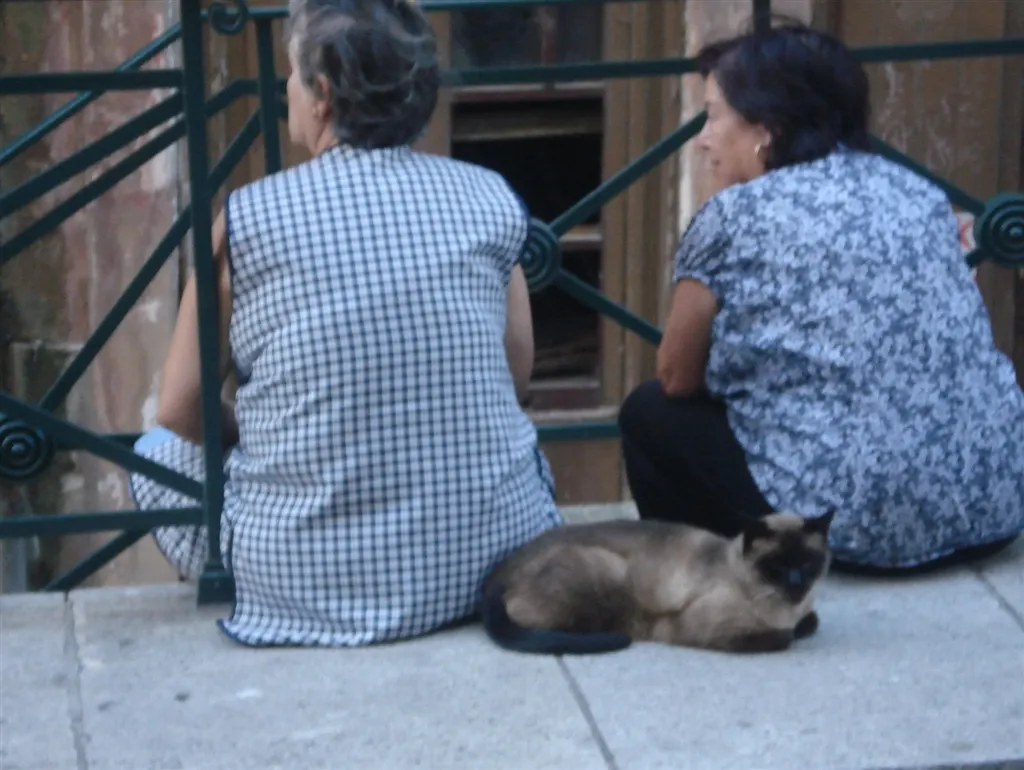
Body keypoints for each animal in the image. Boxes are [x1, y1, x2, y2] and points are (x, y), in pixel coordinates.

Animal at [479, 509, 835, 655]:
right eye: (776, 568)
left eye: (808, 563)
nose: (797, 585)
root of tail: (496, 576)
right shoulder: (705, 628)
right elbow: (785, 637)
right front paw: (789, 633)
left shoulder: (806, 611)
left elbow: (810, 621)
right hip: (607, 573)